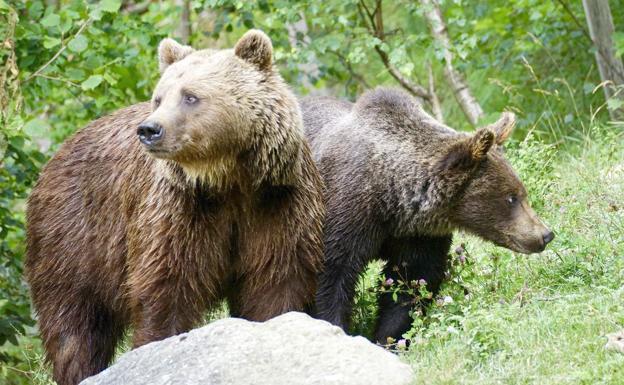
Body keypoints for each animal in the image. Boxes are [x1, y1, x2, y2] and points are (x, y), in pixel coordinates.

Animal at [24, 30, 324, 384]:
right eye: (159, 97)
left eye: (190, 96)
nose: (149, 129)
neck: (228, 180)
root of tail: (55, 157)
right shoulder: (179, 210)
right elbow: (167, 288)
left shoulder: (277, 205)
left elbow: (276, 283)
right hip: (74, 237)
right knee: (74, 325)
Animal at [302, 88, 552, 344]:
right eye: (511, 197)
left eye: (522, 192)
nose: (545, 234)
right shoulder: (347, 214)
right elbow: (331, 278)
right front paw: (335, 326)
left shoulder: (419, 236)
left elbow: (412, 284)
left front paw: (391, 338)